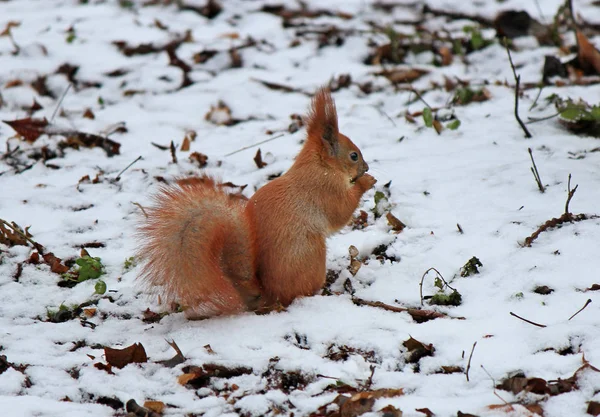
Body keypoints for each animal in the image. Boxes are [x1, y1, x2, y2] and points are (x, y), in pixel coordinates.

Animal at [138, 86, 378, 316]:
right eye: (354, 156)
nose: (366, 167)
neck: (319, 165)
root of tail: (267, 294)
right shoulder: (326, 189)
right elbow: (341, 212)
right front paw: (366, 182)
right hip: (311, 255)